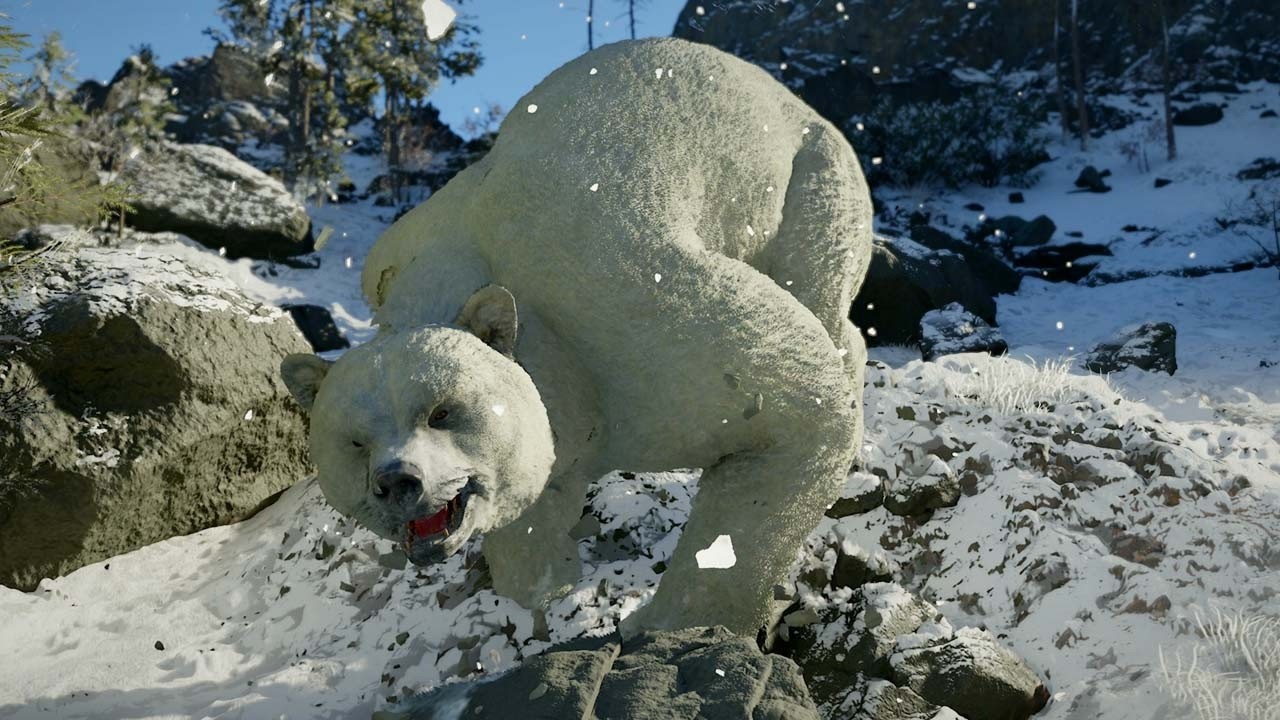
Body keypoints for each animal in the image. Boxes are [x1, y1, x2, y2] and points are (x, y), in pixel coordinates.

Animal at [282, 37, 873, 641]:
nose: (398, 482)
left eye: (441, 412)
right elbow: (538, 499)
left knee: (819, 290)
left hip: (811, 175)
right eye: (354, 442)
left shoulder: (630, 316)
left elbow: (797, 409)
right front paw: (551, 586)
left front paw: (665, 623)